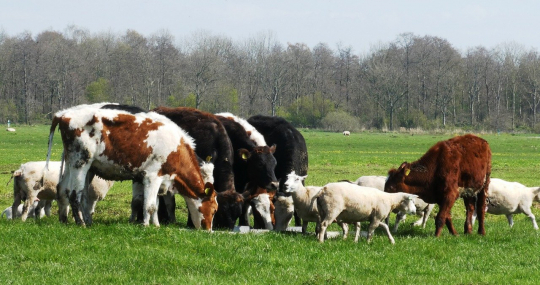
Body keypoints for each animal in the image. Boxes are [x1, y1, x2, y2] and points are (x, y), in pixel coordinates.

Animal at [44, 102, 217, 229]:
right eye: (214, 209)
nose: (208, 230)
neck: (176, 147)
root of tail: (63, 114)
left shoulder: (159, 179)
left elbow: (155, 203)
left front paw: (156, 224)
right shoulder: (152, 176)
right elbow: (149, 205)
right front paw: (146, 225)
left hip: (73, 164)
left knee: (64, 190)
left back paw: (66, 220)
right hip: (80, 163)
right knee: (75, 194)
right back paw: (81, 223)